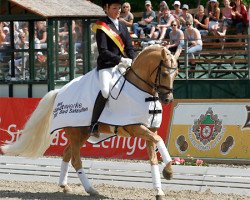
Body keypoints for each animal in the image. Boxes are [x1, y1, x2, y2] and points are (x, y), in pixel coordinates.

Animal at [1, 44, 178, 199]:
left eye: (175, 75)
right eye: (164, 74)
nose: (168, 99)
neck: (142, 91)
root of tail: (60, 91)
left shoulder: (150, 129)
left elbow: (153, 158)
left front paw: (160, 190)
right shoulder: (136, 127)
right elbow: (159, 140)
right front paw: (169, 169)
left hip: (81, 133)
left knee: (67, 154)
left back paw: (64, 186)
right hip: (76, 132)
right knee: (75, 160)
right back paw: (91, 189)